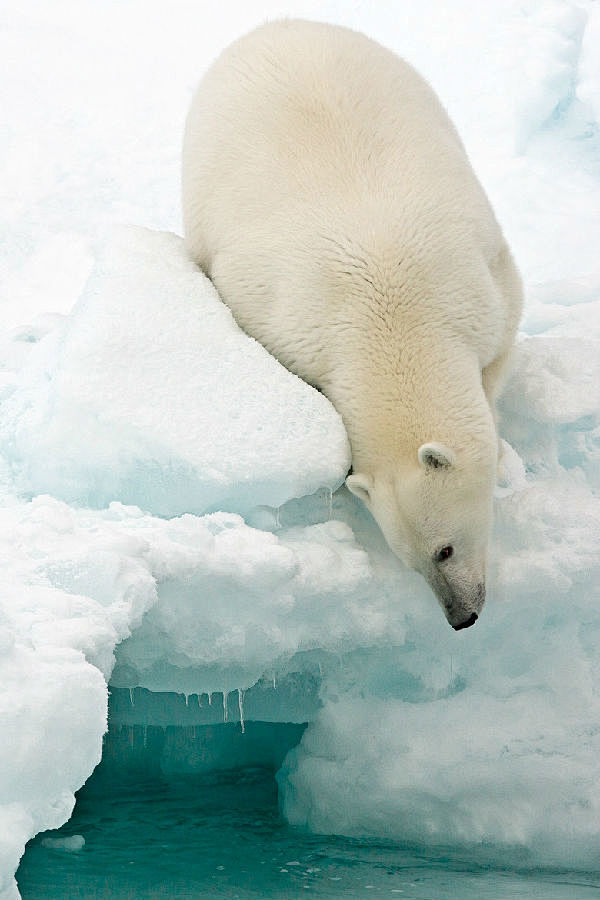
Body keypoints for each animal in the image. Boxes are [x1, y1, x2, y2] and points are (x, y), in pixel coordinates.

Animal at [182, 17, 520, 628]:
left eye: (444, 549)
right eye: (411, 561)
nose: (461, 617)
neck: (392, 316)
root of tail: (278, 24)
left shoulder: (478, 279)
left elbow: (501, 348)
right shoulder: (286, 326)